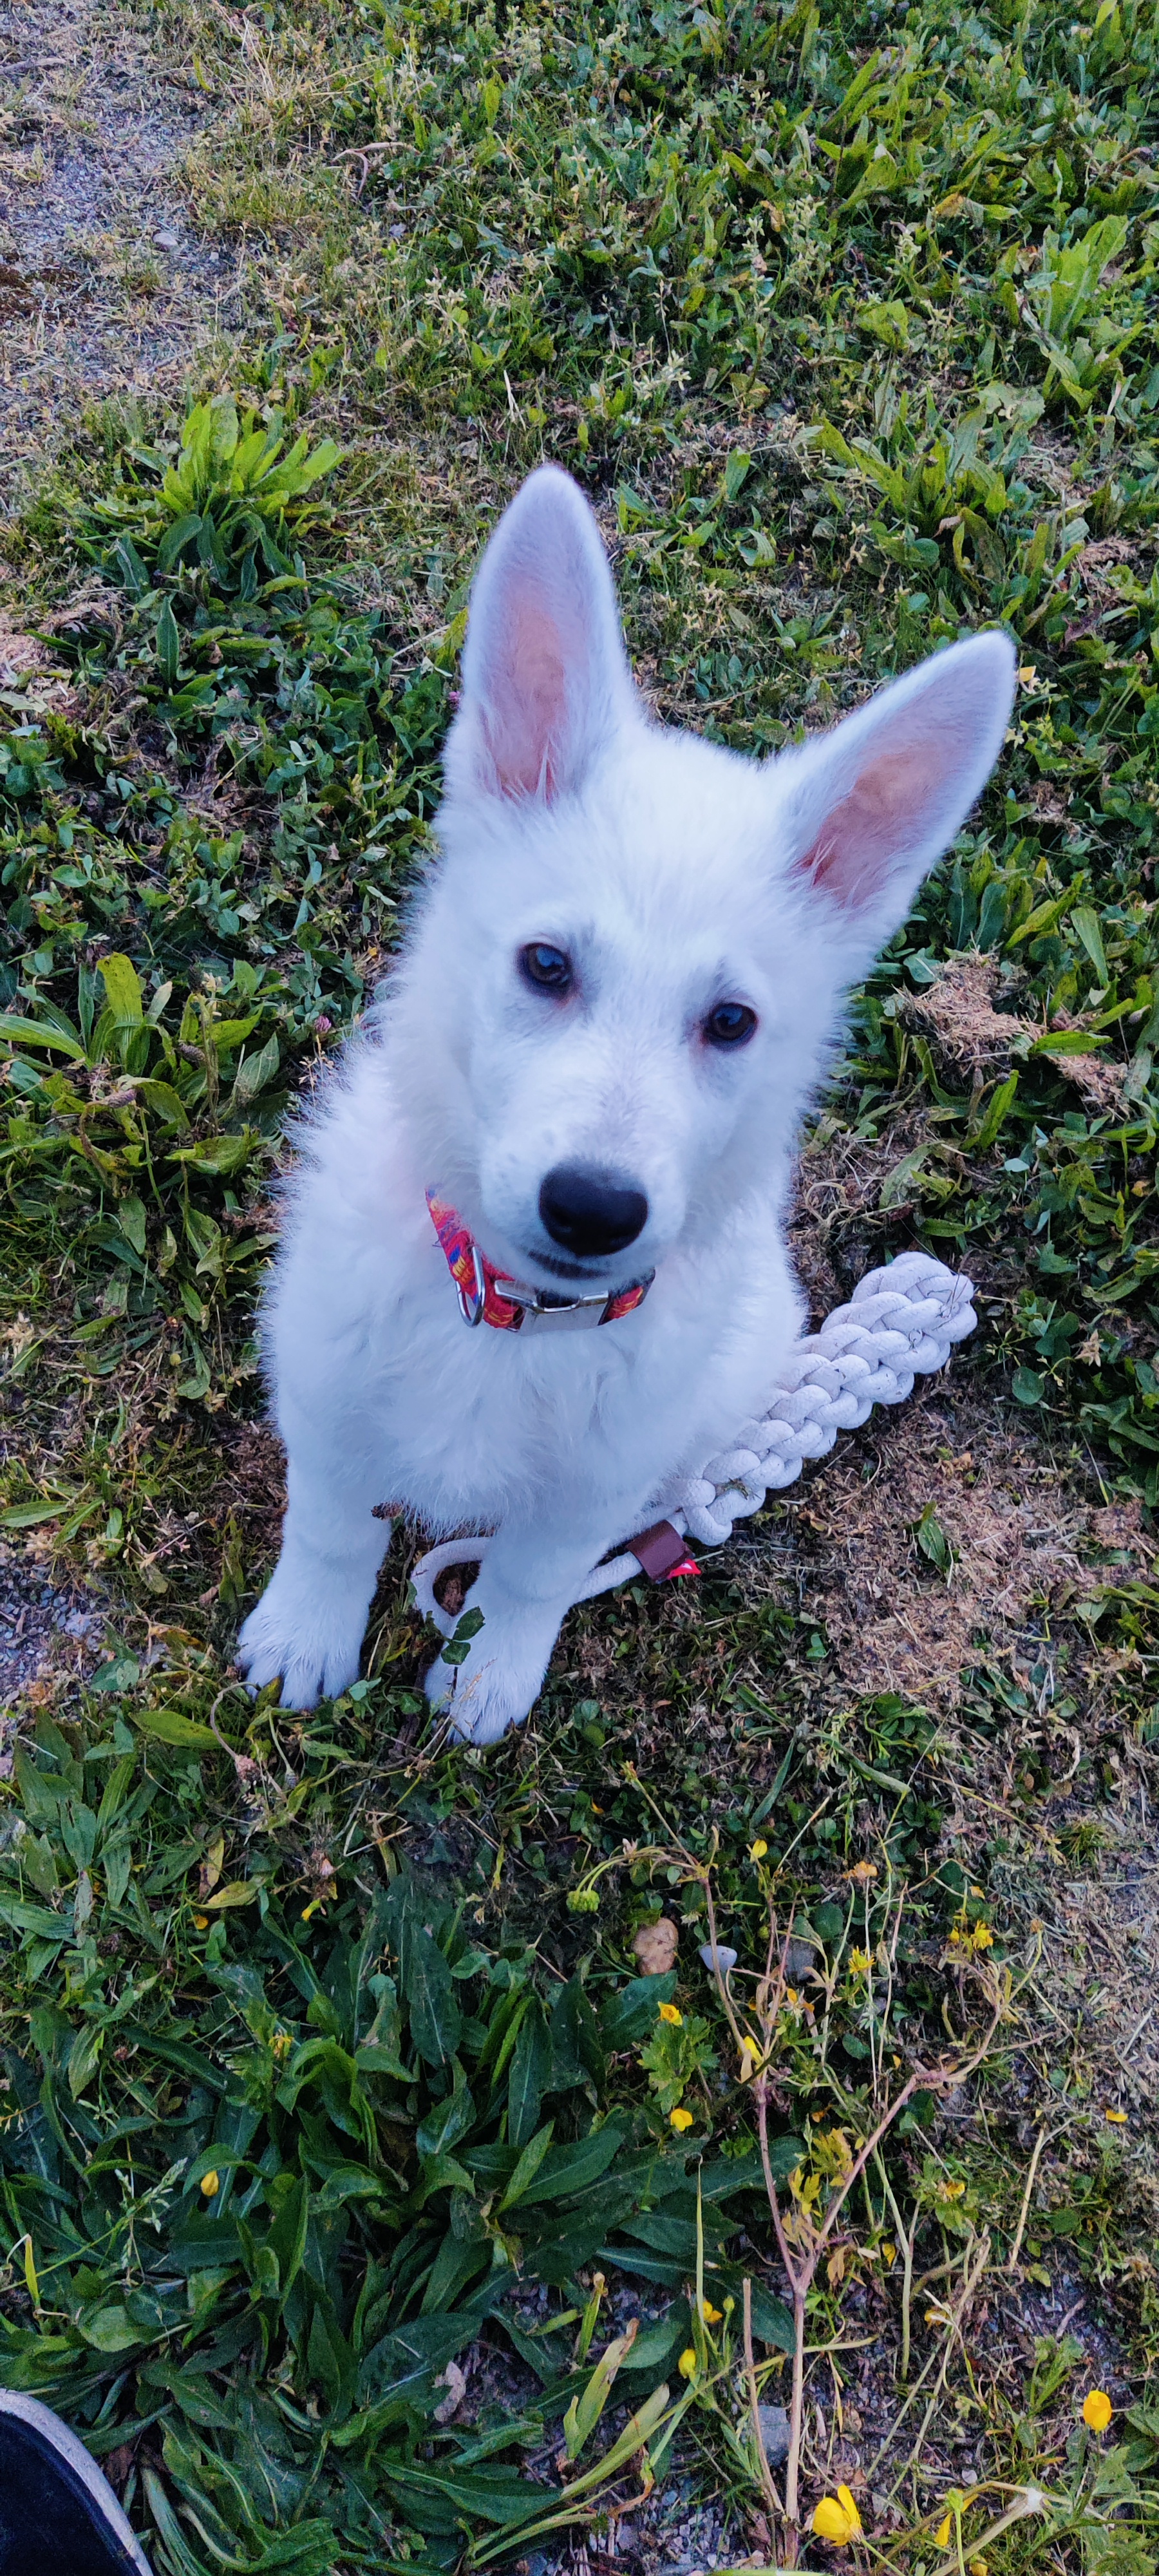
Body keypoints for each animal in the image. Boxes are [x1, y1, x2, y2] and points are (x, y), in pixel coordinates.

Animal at [237, 464, 1015, 1742]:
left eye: (731, 1023)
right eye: (547, 965)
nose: (593, 1210)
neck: (515, 1317)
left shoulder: (596, 1480)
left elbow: (531, 1572)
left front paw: (490, 1668)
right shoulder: (324, 1370)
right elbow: (333, 1517)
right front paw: (306, 1633)